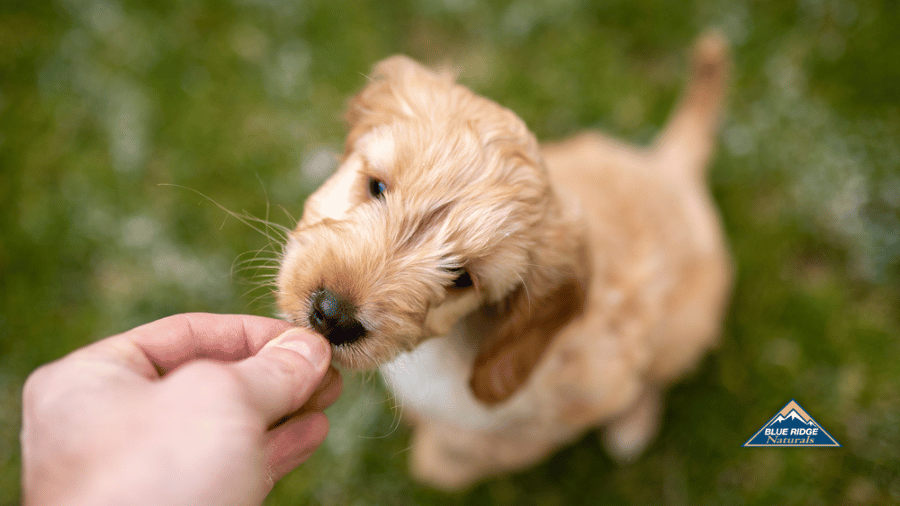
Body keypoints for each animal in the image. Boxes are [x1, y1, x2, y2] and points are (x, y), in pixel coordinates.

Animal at [278, 32, 736, 490]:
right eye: (376, 187)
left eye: (461, 278)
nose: (332, 316)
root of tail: (670, 167)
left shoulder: (561, 407)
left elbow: (452, 458)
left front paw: (434, 459)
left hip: (686, 327)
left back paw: (633, 425)